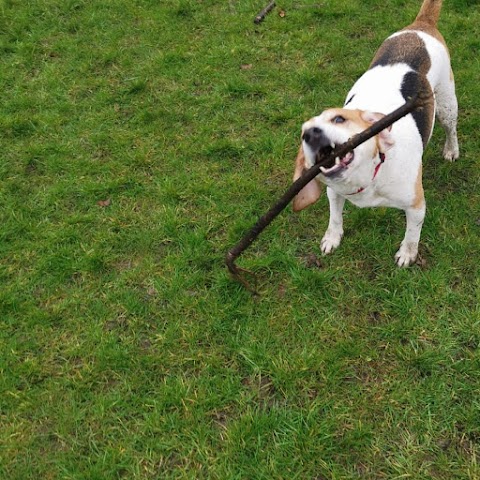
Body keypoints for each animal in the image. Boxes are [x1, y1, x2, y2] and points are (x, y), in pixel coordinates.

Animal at [290, 0, 460, 266]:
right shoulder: (334, 192)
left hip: (446, 104)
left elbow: (412, 235)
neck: (367, 177)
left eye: (339, 119)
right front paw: (332, 238)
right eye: (302, 134)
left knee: (451, 129)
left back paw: (451, 150)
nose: (312, 133)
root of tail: (421, 25)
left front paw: (407, 255)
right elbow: (335, 217)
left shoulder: (416, 205)